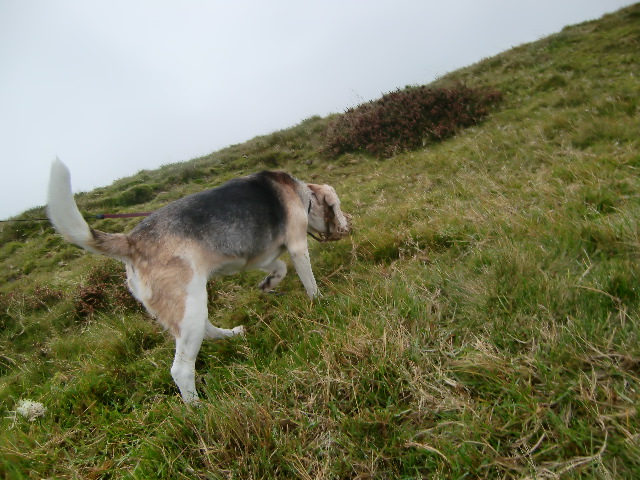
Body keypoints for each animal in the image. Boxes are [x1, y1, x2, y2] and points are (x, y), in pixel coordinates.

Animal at [47, 159, 352, 404]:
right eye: (336, 206)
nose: (348, 225)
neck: (302, 194)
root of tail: (132, 242)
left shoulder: (262, 257)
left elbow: (278, 268)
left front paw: (268, 284)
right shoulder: (298, 246)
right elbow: (309, 281)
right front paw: (321, 303)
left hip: (192, 304)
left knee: (207, 332)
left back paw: (231, 335)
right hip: (189, 306)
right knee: (181, 369)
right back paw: (197, 409)